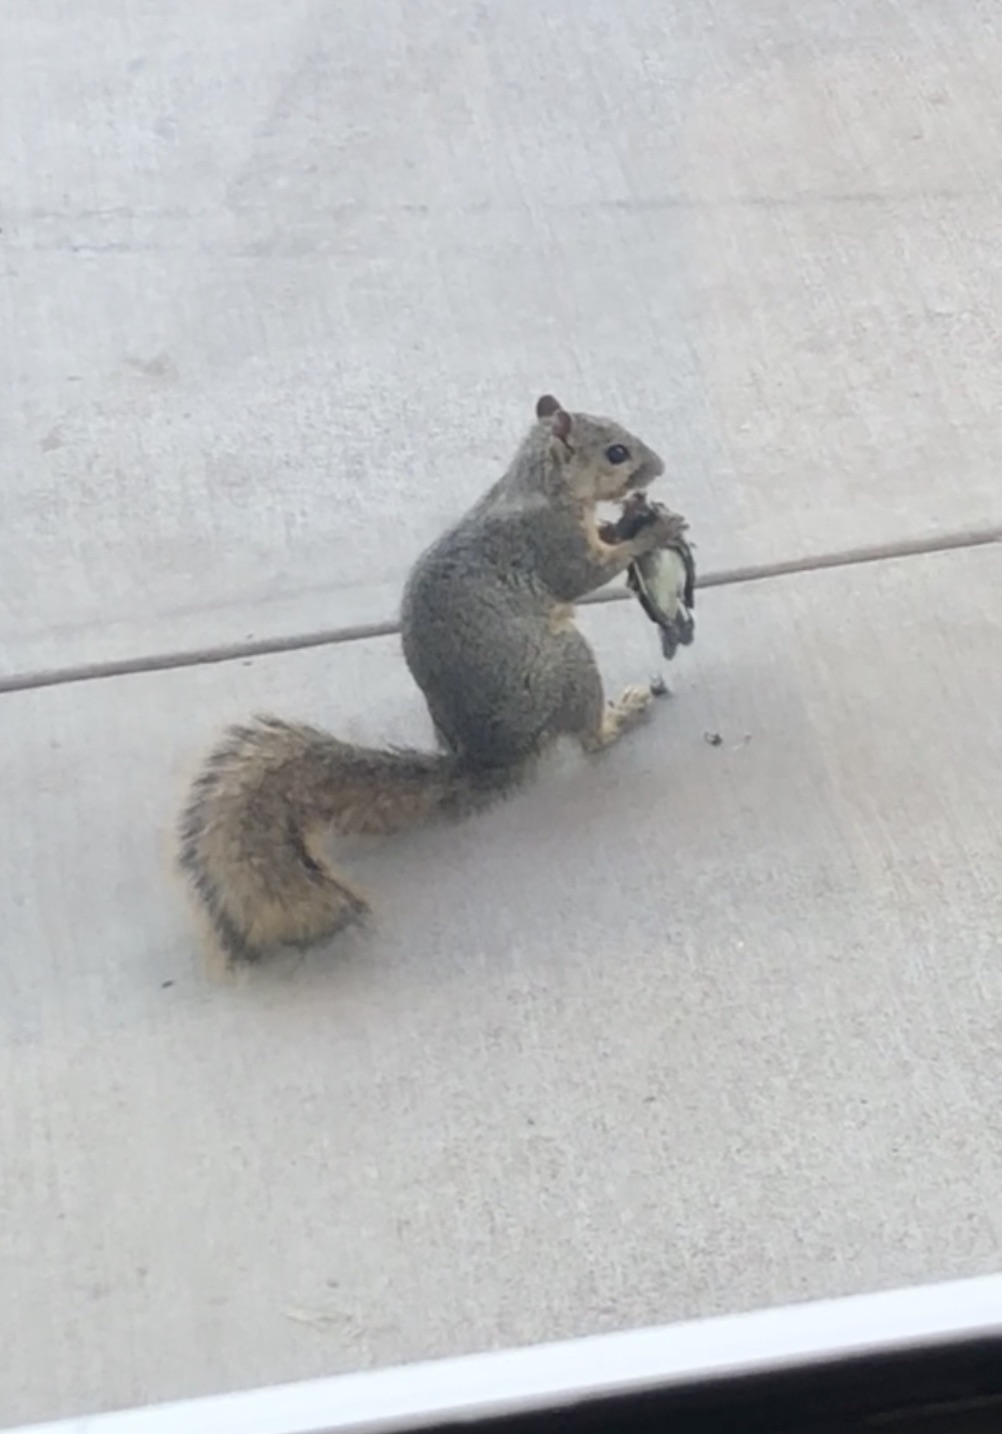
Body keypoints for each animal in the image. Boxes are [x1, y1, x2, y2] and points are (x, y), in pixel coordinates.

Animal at [176, 398, 685, 969]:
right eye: (616, 452)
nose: (658, 467)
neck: (539, 485)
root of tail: (489, 756)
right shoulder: (548, 543)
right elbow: (584, 574)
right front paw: (652, 532)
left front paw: (632, 520)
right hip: (565, 666)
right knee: (591, 737)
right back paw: (623, 714)